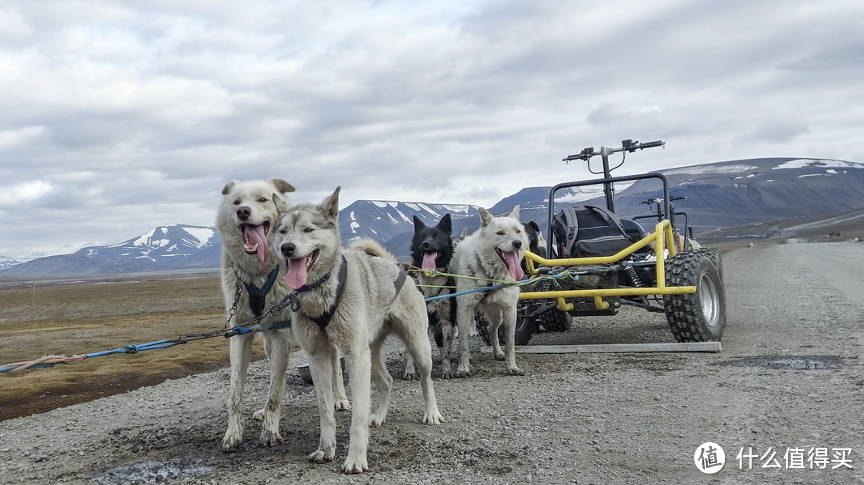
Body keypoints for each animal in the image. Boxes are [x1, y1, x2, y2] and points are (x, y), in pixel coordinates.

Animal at [216, 179, 352, 454]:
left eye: (263, 199)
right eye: (236, 202)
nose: (243, 212)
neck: (258, 272)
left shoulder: (281, 334)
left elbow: (275, 392)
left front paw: (269, 432)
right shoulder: (240, 333)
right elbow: (236, 392)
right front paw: (233, 433)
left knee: (335, 367)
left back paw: (340, 399)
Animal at [274, 186, 442, 472]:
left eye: (308, 229)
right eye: (283, 231)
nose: (287, 248)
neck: (320, 291)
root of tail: (395, 267)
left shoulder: (354, 356)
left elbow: (357, 417)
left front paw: (355, 458)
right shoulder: (318, 357)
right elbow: (325, 411)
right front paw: (326, 449)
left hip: (415, 346)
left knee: (426, 380)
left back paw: (431, 412)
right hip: (370, 354)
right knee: (386, 381)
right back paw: (380, 415)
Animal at [448, 206, 528, 376]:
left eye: (517, 231)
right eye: (500, 233)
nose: (517, 243)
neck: (490, 274)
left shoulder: (510, 310)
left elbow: (510, 343)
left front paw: (512, 366)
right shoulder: (464, 308)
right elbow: (463, 343)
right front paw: (463, 367)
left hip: (497, 314)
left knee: (492, 328)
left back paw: (497, 352)